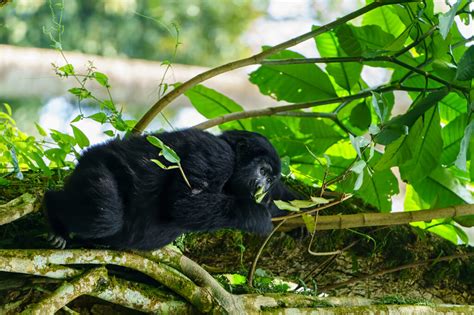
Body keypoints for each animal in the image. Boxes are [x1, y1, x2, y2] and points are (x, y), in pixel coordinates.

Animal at [44, 128, 296, 249]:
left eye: (271, 179)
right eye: (262, 171)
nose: (263, 185)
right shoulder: (217, 155)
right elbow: (183, 204)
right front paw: (258, 216)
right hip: (96, 165)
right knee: (104, 216)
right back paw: (53, 212)